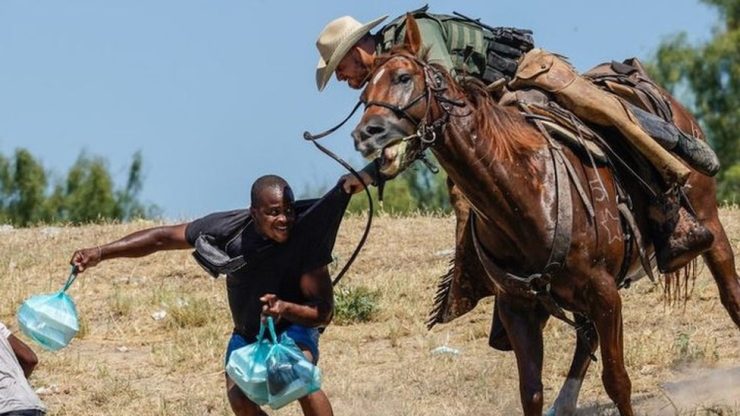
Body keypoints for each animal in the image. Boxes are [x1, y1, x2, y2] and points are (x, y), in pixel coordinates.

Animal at [348, 15, 740, 416]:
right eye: (364, 94)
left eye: (403, 77)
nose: (367, 134)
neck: (524, 194)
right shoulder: (518, 307)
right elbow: (531, 391)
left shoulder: (604, 294)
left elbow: (618, 381)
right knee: (585, 340)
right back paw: (564, 402)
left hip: (708, 220)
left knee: (730, 293)